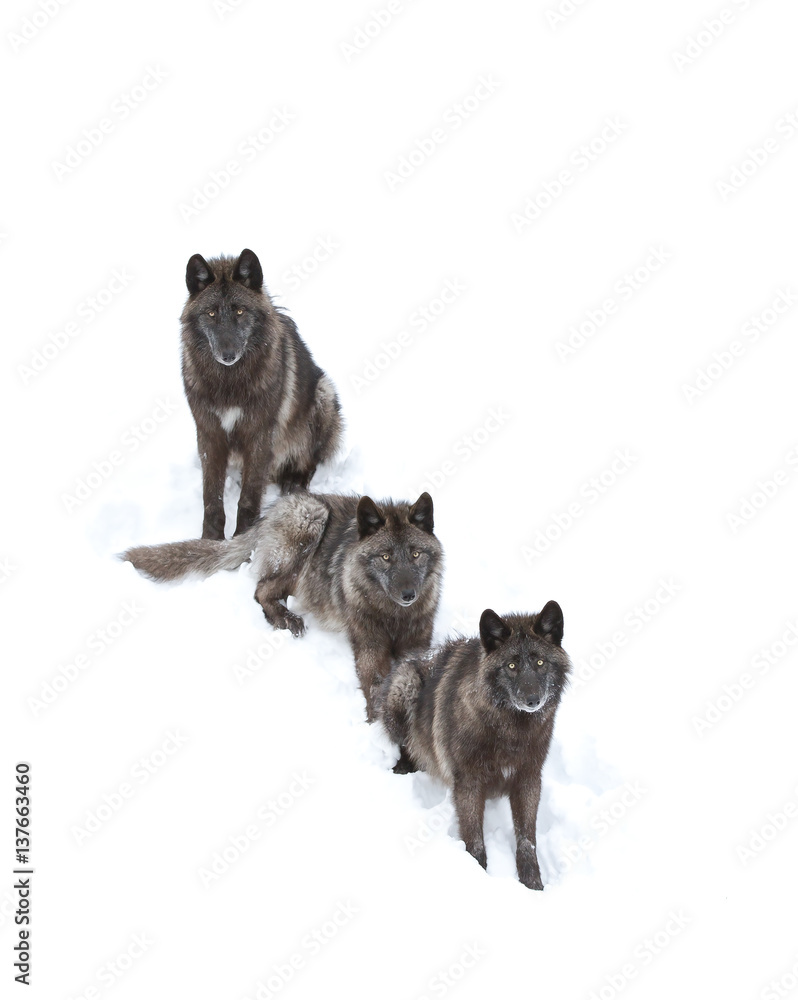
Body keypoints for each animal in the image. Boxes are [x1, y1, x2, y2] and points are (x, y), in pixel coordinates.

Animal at [123, 491, 443, 719]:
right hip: (311, 518)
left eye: (415, 554)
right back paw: (285, 618)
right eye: (386, 557)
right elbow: (377, 689)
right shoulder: (369, 647)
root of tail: (271, 512)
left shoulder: (417, 645)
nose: (409, 594)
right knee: (262, 590)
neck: (393, 615)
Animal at [180, 248, 342, 540]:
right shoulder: (209, 434)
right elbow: (211, 496)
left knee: (309, 461)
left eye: (240, 311)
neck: (229, 383)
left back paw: (294, 481)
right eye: (210, 313)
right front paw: (210, 540)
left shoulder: (260, 433)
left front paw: (243, 539)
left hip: (324, 394)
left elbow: (249, 495)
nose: (228, 355)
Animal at [378, 602, 570, 889]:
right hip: (406, 688)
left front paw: (533, 884)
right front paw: (478, 876)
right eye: (511, 665)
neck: (510, 733)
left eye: (540, 662)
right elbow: (474, 839)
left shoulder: (528, 779)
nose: (533, 700)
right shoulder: (468, 782)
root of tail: (407, 660)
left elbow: (528, 840)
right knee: (404, 745)